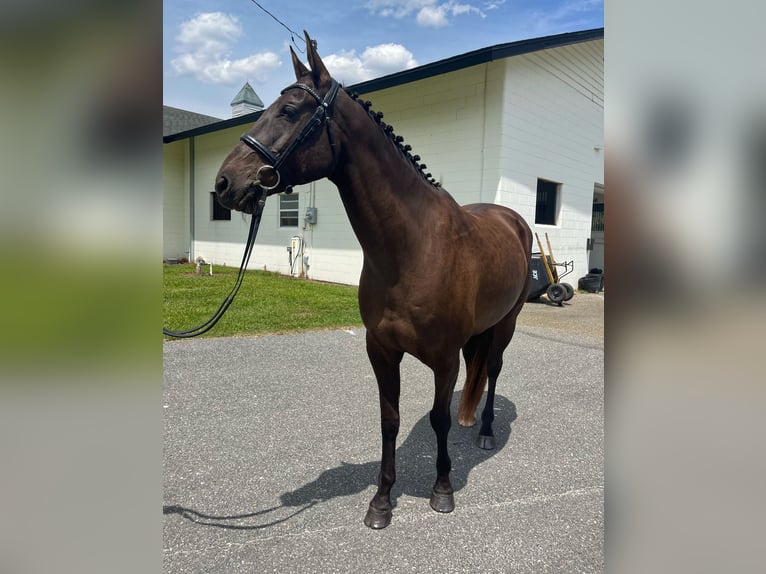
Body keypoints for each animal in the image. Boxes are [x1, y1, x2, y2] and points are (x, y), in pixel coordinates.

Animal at [213, 31, 532, 532]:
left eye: (288, 111)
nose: (226, 184)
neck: (413, 247)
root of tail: (512, 218)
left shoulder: (443, 357)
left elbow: (438, 419)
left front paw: (442, 490)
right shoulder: (381, 350)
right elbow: (390, 420)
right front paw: (381, 500)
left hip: (506, 324)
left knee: (494, 370)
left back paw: (484, 431)